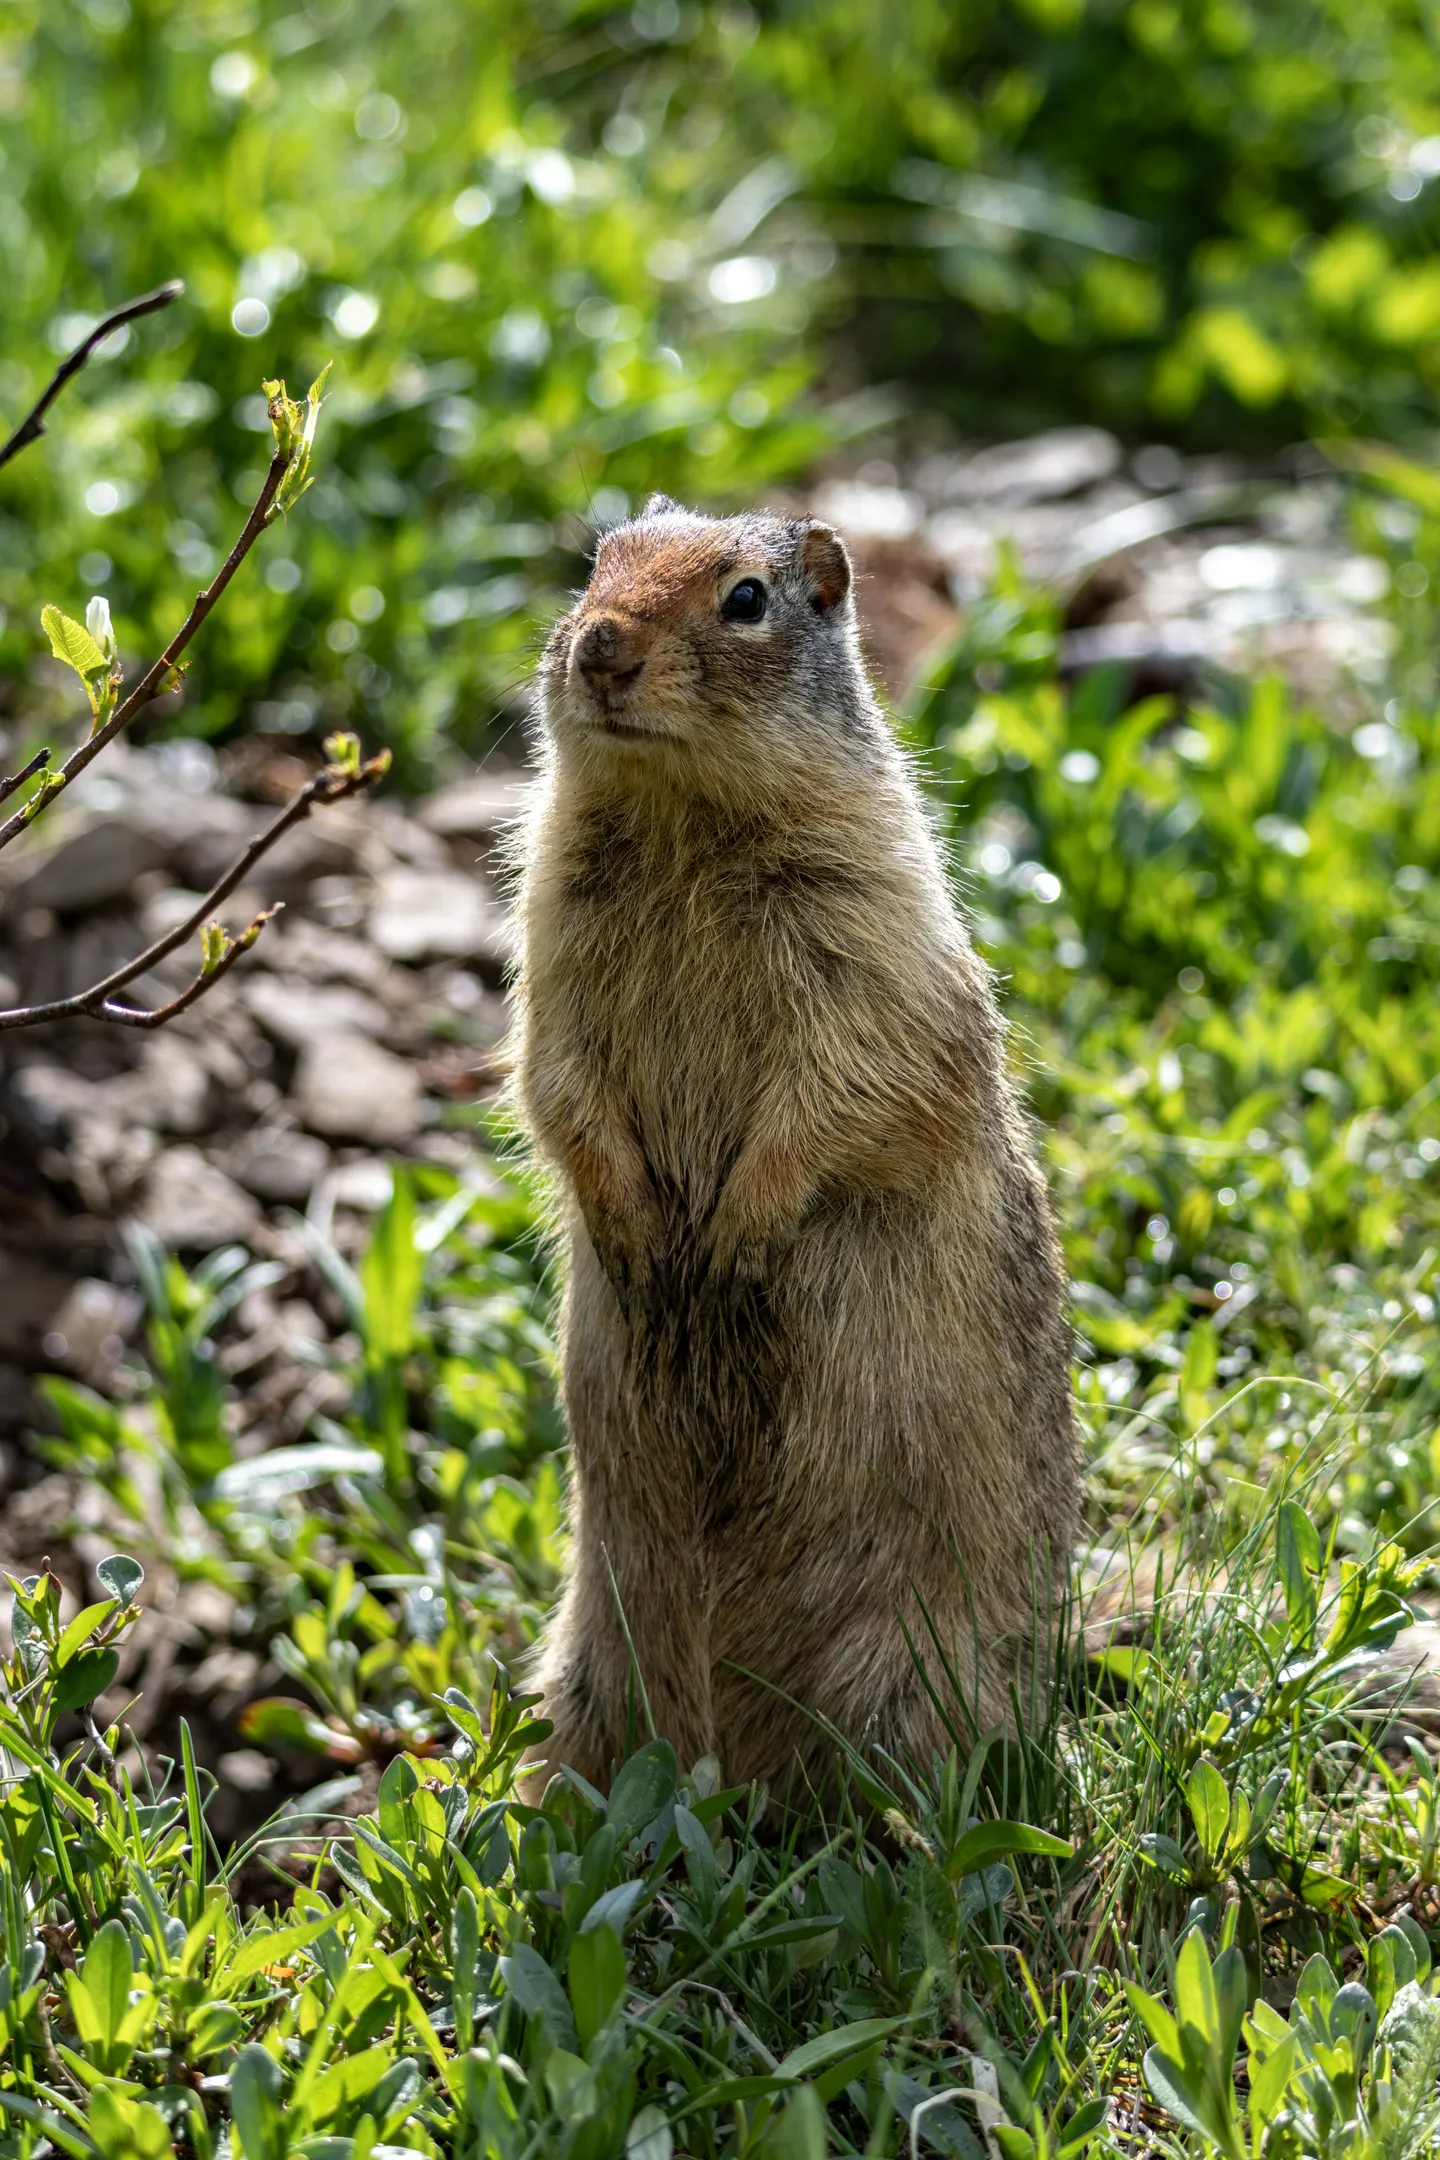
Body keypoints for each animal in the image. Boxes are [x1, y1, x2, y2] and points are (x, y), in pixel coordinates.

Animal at [511, 494, 1079, 1806]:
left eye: (746, 599)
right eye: (596, 563)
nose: (601, 647)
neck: (683, 815)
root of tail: (739, 1759)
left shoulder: (865, 925)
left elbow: (846, 1082)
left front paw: (730, 1235)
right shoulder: (551, 932)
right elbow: (555, 1076)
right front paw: (639, 1230)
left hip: (920, 1669)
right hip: (589, 1662)